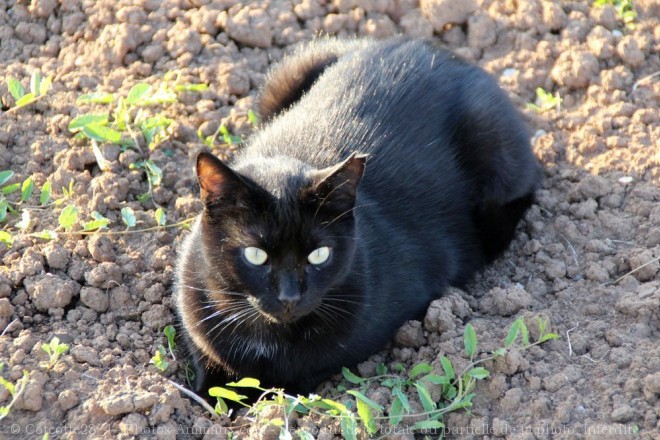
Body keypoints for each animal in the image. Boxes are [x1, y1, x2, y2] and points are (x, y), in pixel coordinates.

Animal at [174, 37, 540, 396]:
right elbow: (209, 382)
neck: (266, 336)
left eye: (319, 255)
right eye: (255, 255)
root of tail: (437, 50)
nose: (289, 297)